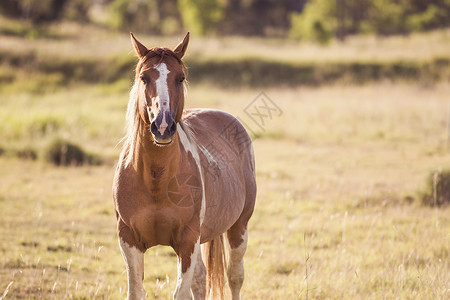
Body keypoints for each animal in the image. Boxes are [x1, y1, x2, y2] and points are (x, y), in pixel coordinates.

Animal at [112, 32, 256, 300]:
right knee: (201, 279)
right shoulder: (128, 240)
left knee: (234, 277)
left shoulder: (187, 242)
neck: (156, 179)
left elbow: (181, 292)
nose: (162, 126)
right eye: (143, 77)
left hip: (239, 228)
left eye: (180, 78)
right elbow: (136, 290)